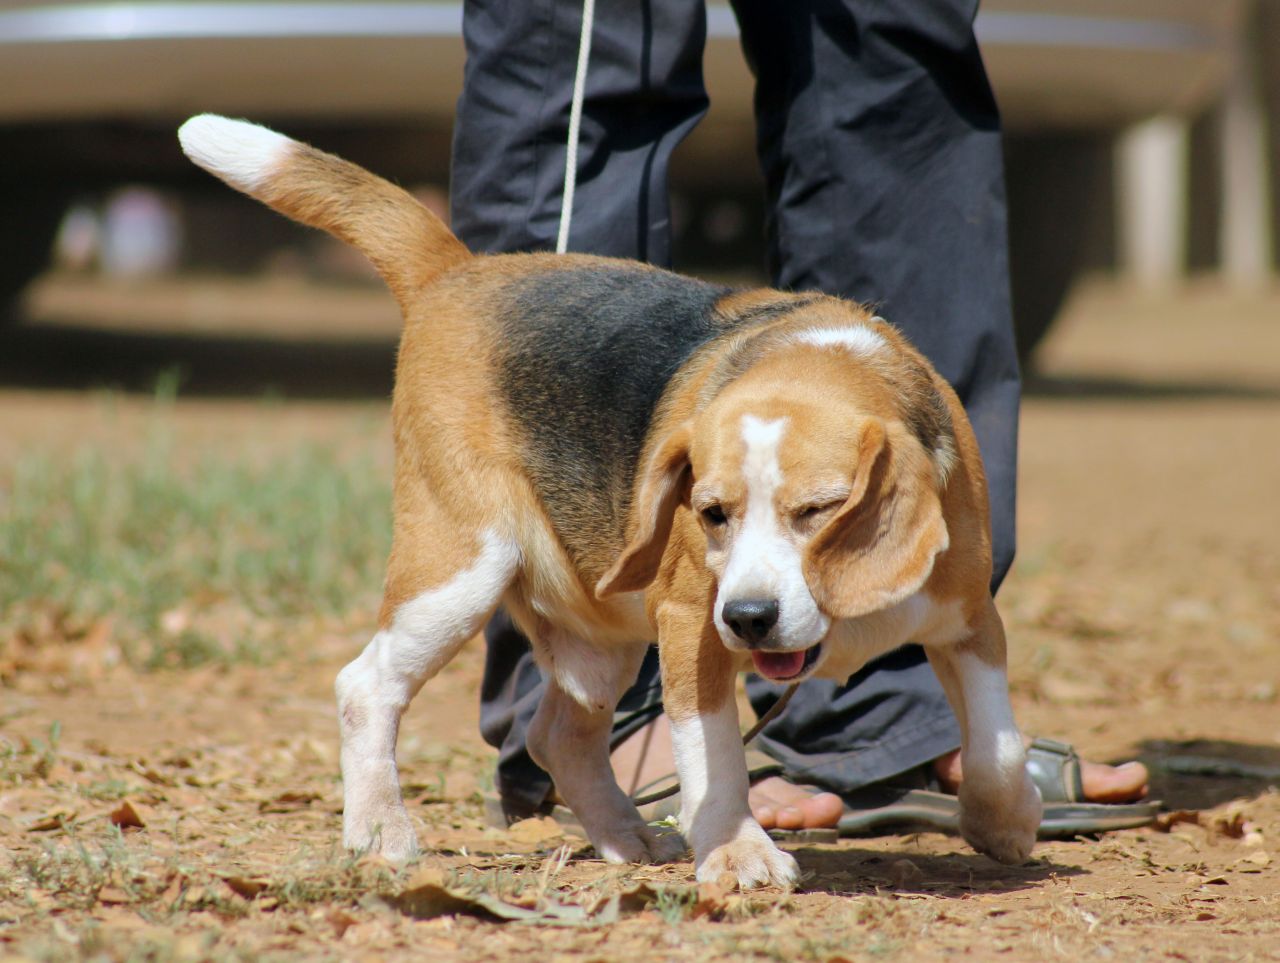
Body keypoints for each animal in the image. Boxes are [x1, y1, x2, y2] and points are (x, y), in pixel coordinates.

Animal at [180, 112, 1039, 886]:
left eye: (819, 511)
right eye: (712, 513)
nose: (748, 617)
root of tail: (458, 273)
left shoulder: (970, 619)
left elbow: (998, 741)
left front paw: (1004, 820)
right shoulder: (690, 623)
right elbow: (714, 758)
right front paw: (738, 852)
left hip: (604, 631)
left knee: (558, 735)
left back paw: (628, 835)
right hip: (461, 571)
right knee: (367, 687)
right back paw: (381, 826)